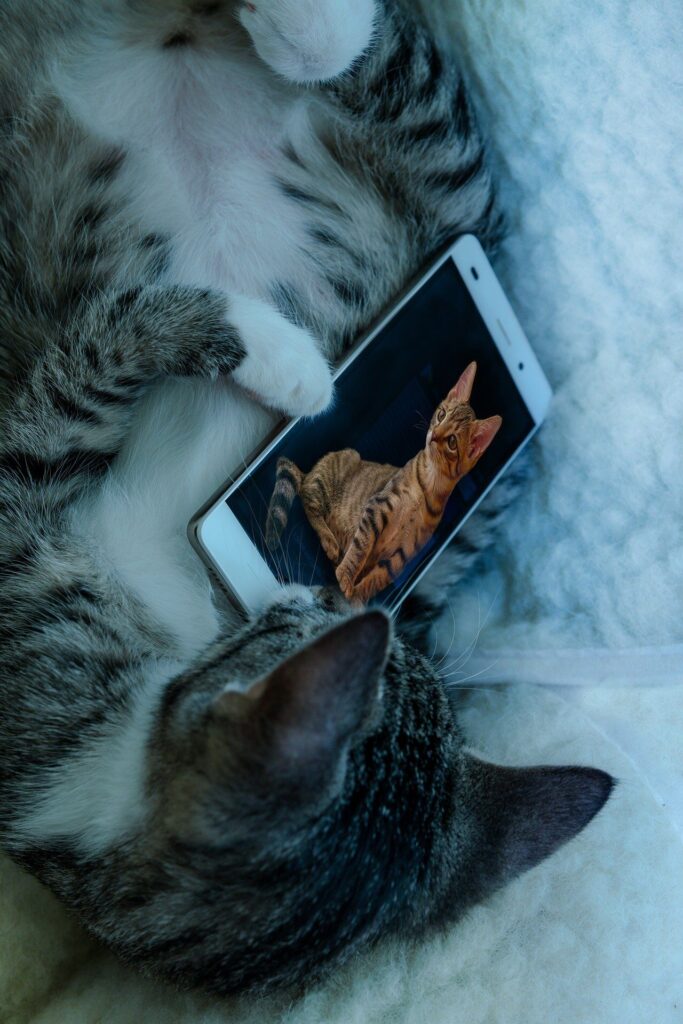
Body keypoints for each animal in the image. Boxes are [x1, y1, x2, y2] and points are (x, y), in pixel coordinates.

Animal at [266, 364, 501, 602]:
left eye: (452, 441)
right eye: (441, 414)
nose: (434, 434)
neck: (428, 483)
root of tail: (309, 472)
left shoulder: (402, 555)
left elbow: (376, 581)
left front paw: (356, 598)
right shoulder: (377, 507)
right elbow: (361, 547)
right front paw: (346, 575)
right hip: (335, 469)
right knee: (308, 500)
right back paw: (329, 540)